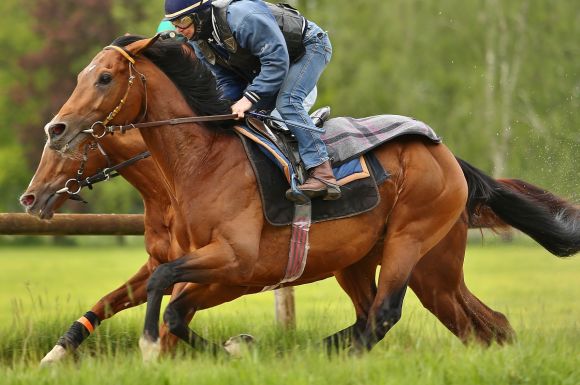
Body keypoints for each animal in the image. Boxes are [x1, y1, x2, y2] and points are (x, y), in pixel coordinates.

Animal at [38, 35, 576, 360]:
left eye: (105, 77)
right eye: (83, 76)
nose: (57, 128)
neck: (201, 164)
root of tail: (446, 155)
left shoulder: (237, 264)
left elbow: (166, 300)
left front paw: (179, 346)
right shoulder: (201, 265)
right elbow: (154, 301)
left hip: (411, 240)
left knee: (384, 314)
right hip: (411, 267)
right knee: (477, 323)